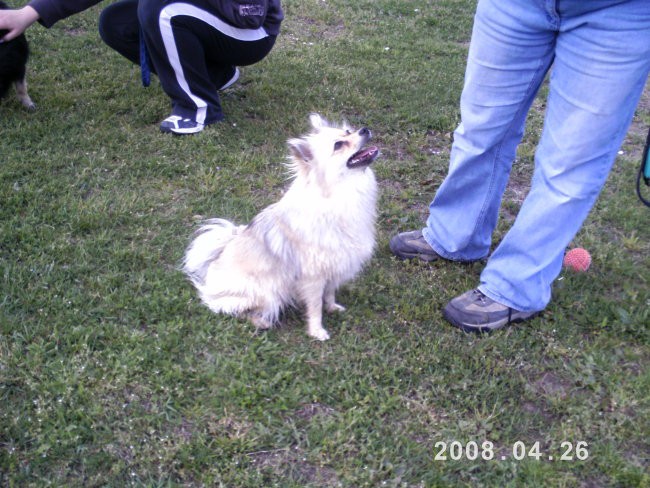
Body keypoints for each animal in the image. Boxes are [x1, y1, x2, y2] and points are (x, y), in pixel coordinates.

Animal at [182, 115, 378, 342]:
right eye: (338, 145)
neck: (338, 193)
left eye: (348, 131)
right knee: (232, 308)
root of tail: (211, 270)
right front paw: (317, 331)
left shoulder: (334, 267)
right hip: (266, 291)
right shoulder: (313, 277)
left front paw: (332, 307)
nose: (364, 130)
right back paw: (261, 321)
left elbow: (329, 294)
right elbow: (315, 306)